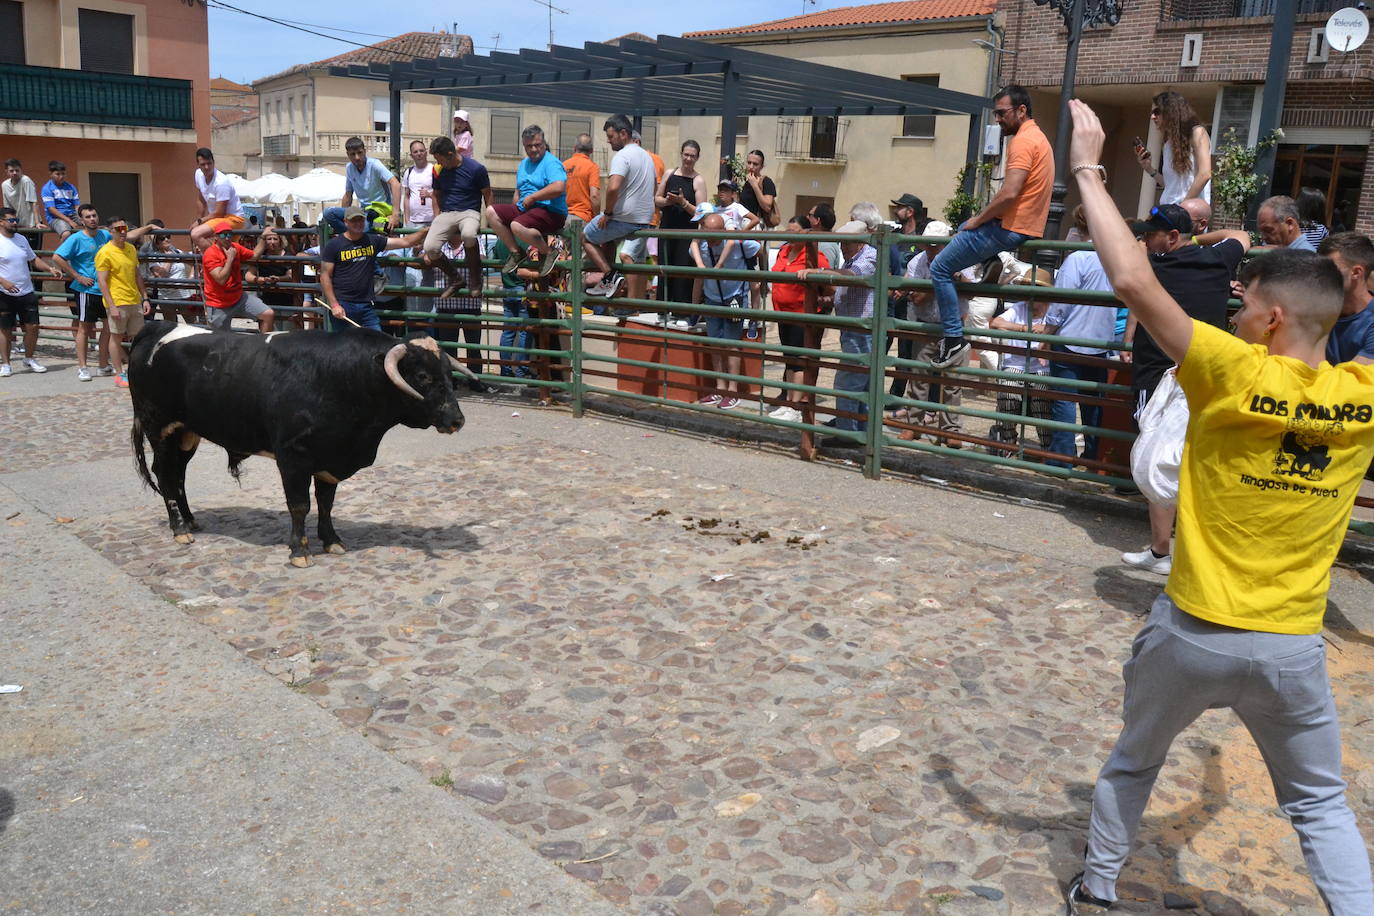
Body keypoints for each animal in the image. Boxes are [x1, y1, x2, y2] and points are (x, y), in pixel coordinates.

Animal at [131, 322, 469, 565]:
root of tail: (157, 327)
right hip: (159, 428)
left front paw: (332, 541)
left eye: (447, 372)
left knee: (178, 475)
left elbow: (326, 502)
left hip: (186, 434)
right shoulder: (293, 458)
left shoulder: (330, 457)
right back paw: (179, 530)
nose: (457, 419)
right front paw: (300, 551)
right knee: (165, 474)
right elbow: (299, 505)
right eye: (423, 376)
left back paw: (190, 521)